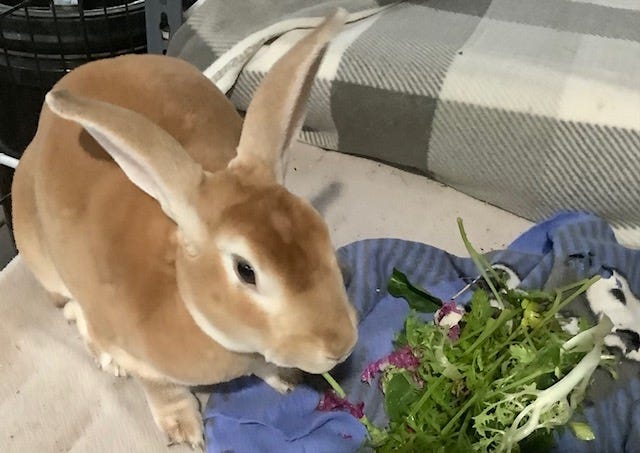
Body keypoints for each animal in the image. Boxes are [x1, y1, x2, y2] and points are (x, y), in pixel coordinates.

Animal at [10, 7, 358, 448]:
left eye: (320, 230)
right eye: (246, 270)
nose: (340, 344)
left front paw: (286, 378)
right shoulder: (143, 362)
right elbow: (162, 389)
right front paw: (186, 432)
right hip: (38, 250)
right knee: (71, 307)